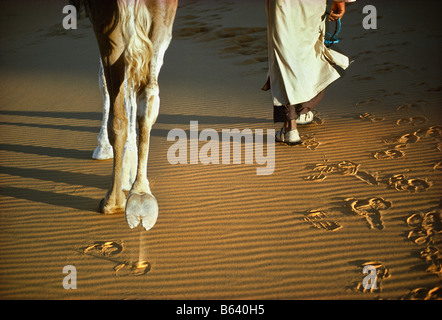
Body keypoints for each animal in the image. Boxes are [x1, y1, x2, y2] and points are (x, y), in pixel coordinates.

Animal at [83, 0, 178, 230]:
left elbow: (106, 83)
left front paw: (103, 148)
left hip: (107, 21)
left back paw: (113, 200)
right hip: (162, 14)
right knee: (148, 95)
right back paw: (140, 192)